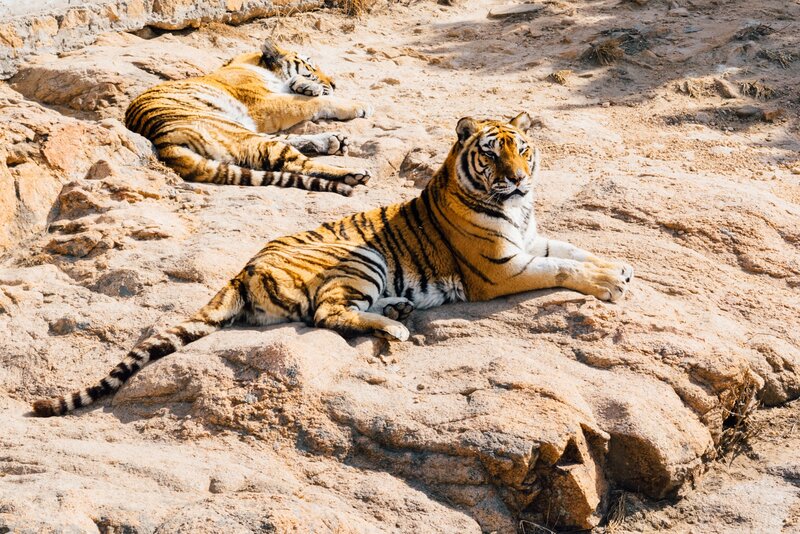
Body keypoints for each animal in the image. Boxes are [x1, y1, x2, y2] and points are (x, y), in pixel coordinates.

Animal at [32, 112, 634, 417]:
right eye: (491, 153)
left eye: (523, 148)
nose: (518, 177)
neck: (515, 207)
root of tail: (241, 269)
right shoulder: (501, 269)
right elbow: (563, 269)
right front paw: (610, 281)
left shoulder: (531, 239)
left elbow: (573, 250)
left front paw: (621, 267)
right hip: (361, 255)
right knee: (326, 313)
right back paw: (398, 325)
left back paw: (397, 311)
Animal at [123, 39, 374, 196]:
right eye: (311, 66)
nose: (334, 83)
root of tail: (162, 143)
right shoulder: (263, 104)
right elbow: (315, 102)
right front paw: (358, 105)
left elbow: (301, 92)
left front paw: (305, 86)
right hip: (239, 133)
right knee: (297, 164)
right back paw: (353, 173)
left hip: (245, 134)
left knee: (284, 147)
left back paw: (334, 141)